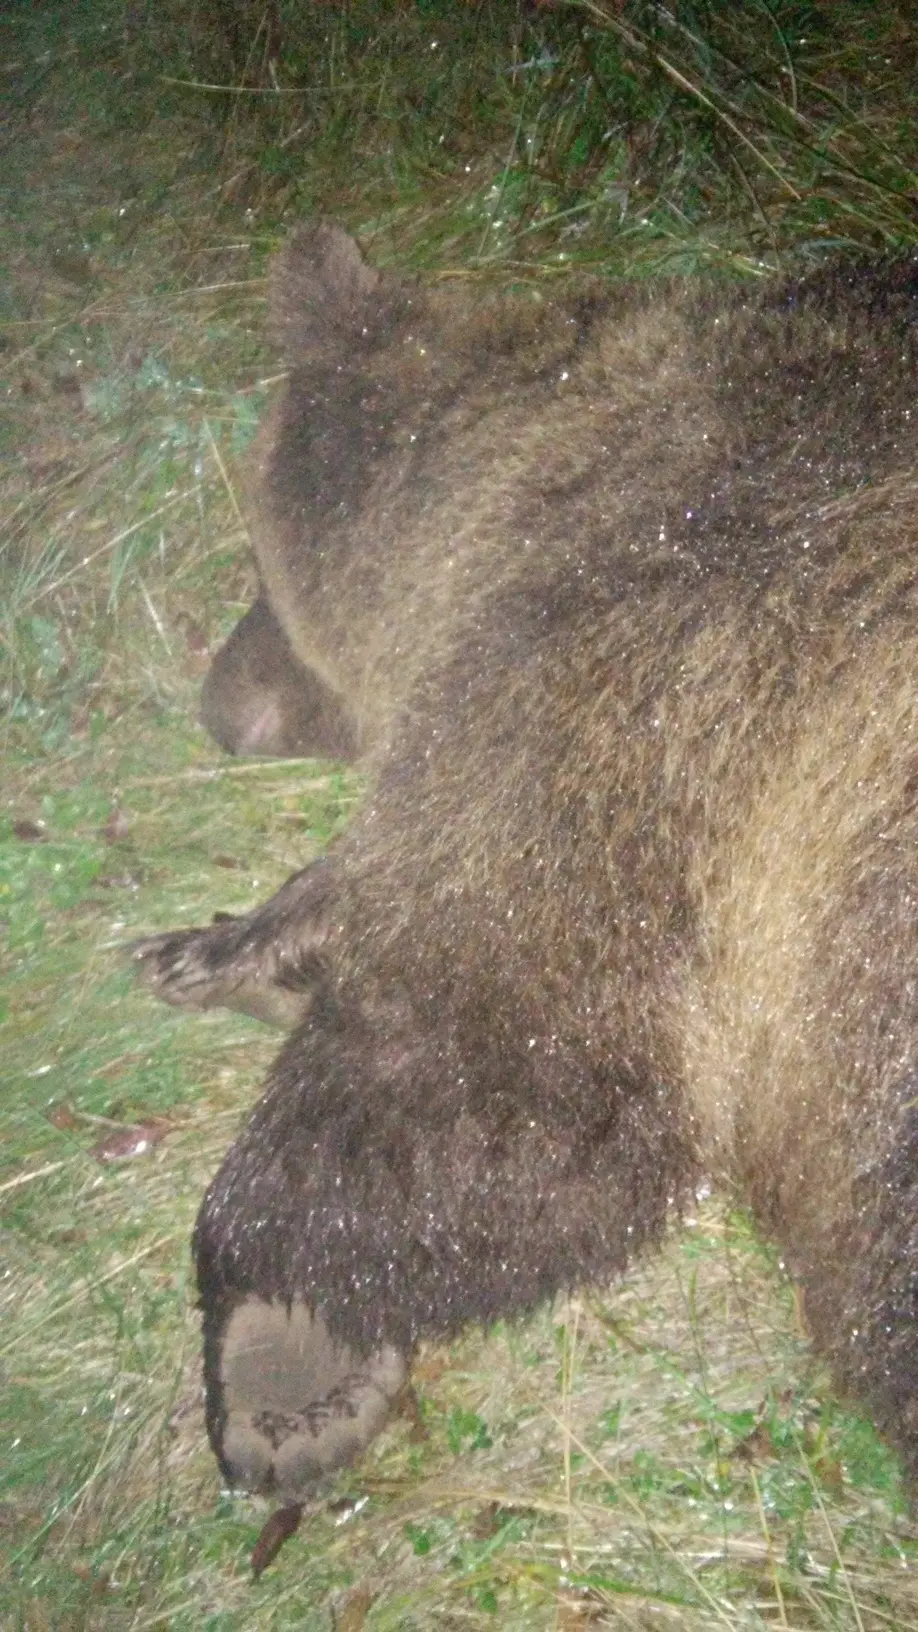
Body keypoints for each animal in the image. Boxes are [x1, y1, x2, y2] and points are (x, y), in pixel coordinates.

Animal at [135, 223, 918, 1504]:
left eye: (260, 560)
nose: (217, 706)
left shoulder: (647, 672)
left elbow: (501, 1052)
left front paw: (286, 1361)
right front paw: (227, 947)